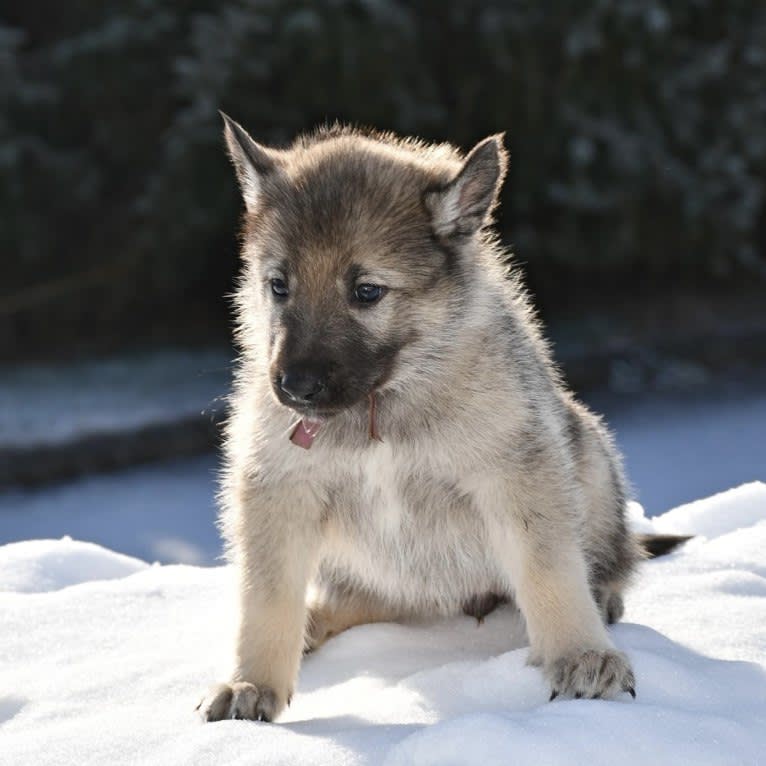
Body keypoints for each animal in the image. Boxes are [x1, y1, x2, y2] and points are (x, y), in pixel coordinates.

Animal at [200, 117, 680, 724]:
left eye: (366, 291)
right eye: (278, 286)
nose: (293, 388)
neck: (382, 406)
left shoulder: (517, 474)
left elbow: (549, 569)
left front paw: (580, 653)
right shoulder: (280, 490)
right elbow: (265, 596)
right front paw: (251, 681)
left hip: (589, 453)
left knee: (611, 557)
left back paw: (604, 598)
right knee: (363, 598)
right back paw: (315, 620)